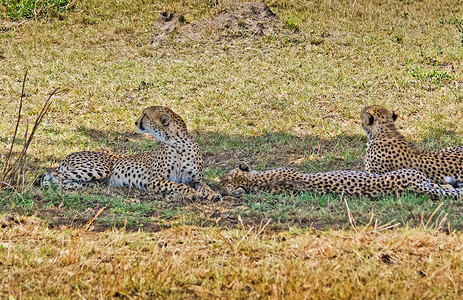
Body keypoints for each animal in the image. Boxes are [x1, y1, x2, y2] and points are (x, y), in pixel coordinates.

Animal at [40, 105, 221, 202]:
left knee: (63, 180)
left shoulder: (195, 179)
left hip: (94, 179)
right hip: (99, 169)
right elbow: (179, 185)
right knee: (49, 176)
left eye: (145, 114)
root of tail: (68, 155)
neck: (178, 143)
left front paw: (213, 194)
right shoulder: (154, 181)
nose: (135, 122)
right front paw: (192, 193)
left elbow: (205, 186)